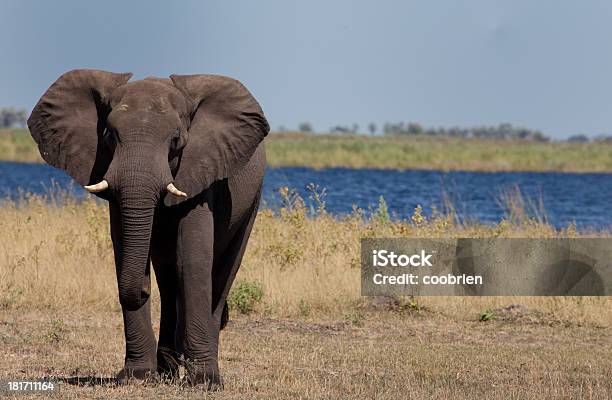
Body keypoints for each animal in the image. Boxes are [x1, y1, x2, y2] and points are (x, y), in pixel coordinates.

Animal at [27, 70, 268, 390]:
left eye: (176, 140)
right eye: (108, 136)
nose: (141, 291)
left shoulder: (202, 171)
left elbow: (192, 260)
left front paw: (202, 382)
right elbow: (124, 252)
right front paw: (138, 377)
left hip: (252, 201)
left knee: (222, 271)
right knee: (168, 280)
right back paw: (167, 371)